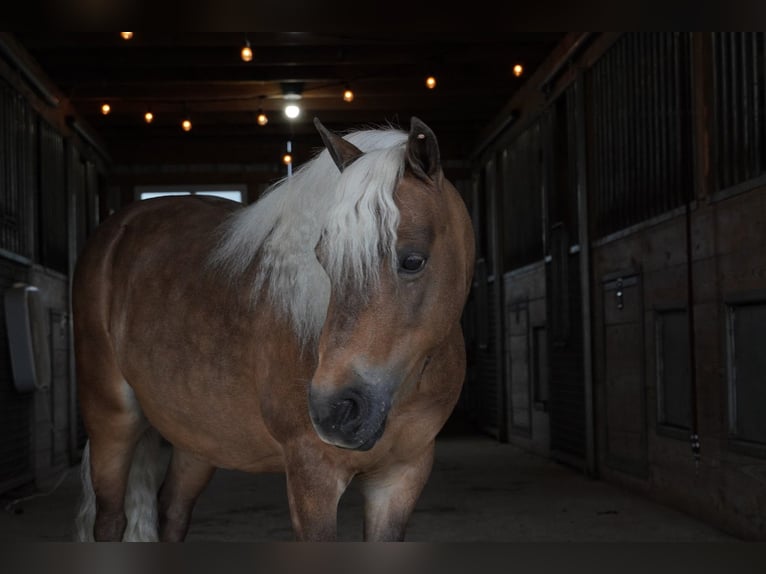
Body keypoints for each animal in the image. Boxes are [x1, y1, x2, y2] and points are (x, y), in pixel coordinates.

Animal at [72, 117, 475, 542]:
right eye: (323, 259)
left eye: (413, 260)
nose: (333, 410)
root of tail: (119, 228)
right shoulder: (311, 477)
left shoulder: (401, 477)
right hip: (111, 421)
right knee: (110, 519)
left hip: (198, 438)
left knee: (173, 510)